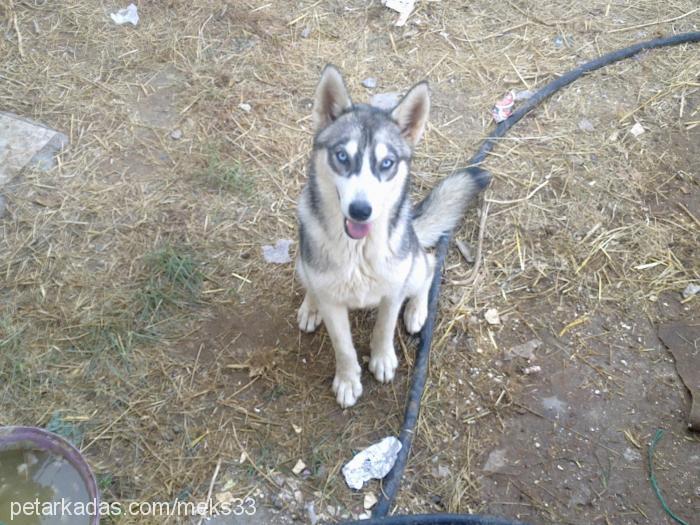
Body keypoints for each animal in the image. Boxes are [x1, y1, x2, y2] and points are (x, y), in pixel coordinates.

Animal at [292, 65, 490, 408]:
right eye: (342, 156)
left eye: (386, 163)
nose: (360, 210)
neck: (358, 250)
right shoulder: (333, 302)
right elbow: (343, 346)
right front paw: (348, 380)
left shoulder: (393, 290)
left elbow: (384, 329)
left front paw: (382, 359)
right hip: (302, 262)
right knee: (310, 282)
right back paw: (310, 306)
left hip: (413, 264)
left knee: (428, 266)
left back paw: (417, 310)